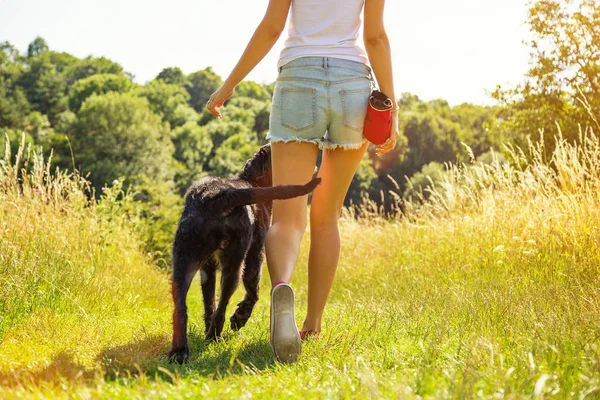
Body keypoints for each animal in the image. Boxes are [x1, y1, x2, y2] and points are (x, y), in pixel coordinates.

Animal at [169, 145, 318, 366]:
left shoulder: (207, 268)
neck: (252, 180)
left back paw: (180, 351)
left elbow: (209, 301)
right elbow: (253, 289)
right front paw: (240, 317)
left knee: (181, 308)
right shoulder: (256, 253)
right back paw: (215, 335)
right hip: (234, 263)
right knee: (223, 304)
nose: (314, 167)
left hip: (184, 260)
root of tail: (217, 197)